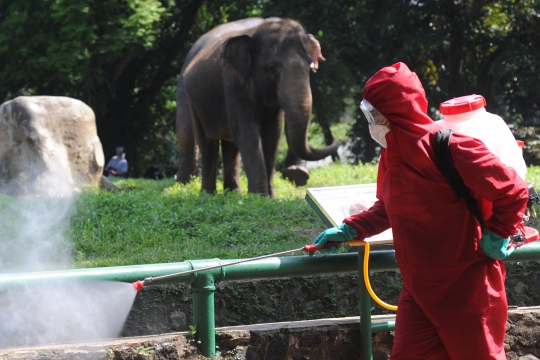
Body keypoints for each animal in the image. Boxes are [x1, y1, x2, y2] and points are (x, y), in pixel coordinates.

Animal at [175, 16, 340, 197]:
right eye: (273, 71)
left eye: (310, 68)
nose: (337, 141)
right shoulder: (233, 82)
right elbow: (246, 130)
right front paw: (259, 196)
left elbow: (272, 133)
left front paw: (269, 197)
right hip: (190, 97)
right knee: (204, 141)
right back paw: (204, 192)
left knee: (230, 145)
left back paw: (233, 193)